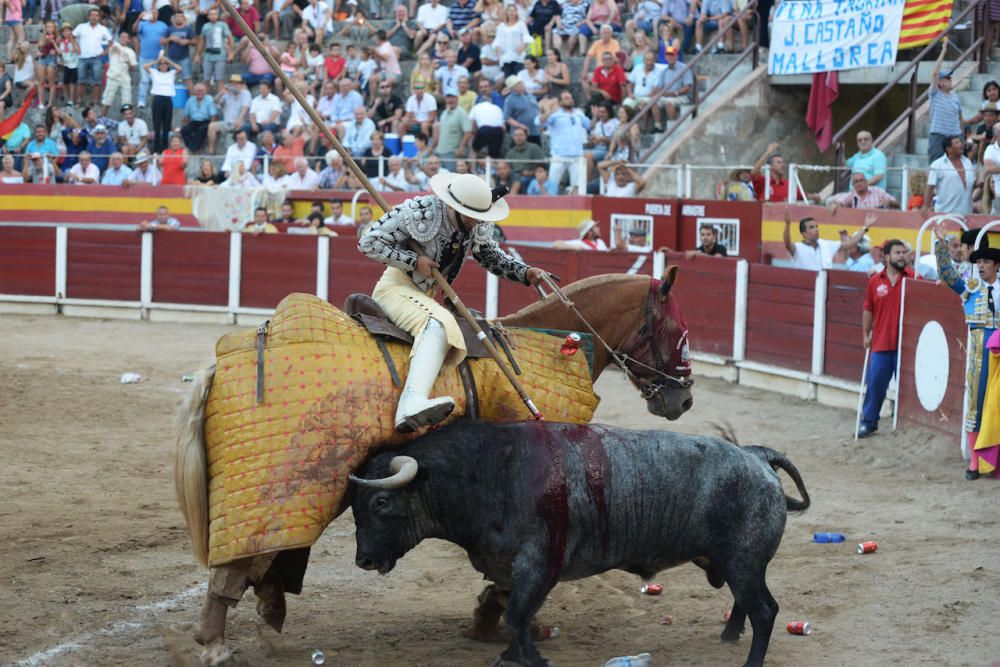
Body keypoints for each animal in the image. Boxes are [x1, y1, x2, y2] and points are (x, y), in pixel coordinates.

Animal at [176, 266, 692, 664]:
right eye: (678, 333)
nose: (684, 400)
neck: (557, 347)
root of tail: (225, 359)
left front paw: (493, 619)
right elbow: (515, 567)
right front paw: (503, 620)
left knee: (261, 557)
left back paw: (266, 613)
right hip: (283, 481)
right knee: (239, 560)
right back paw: (215, 644)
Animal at [352, 422, 812, 667]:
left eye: (380, 502)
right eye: (354, 505)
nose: (364, 560)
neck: (490, 471)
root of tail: (755, 455)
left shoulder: (540, 564)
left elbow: (517, 616)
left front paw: (532, 659)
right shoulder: (510, 569)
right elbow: (513, 614)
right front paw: (511, 655)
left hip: (743, 560)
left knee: (765, 610)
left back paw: (750, 660)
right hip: (737, 562)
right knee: (748, 603)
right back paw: (729, 635)